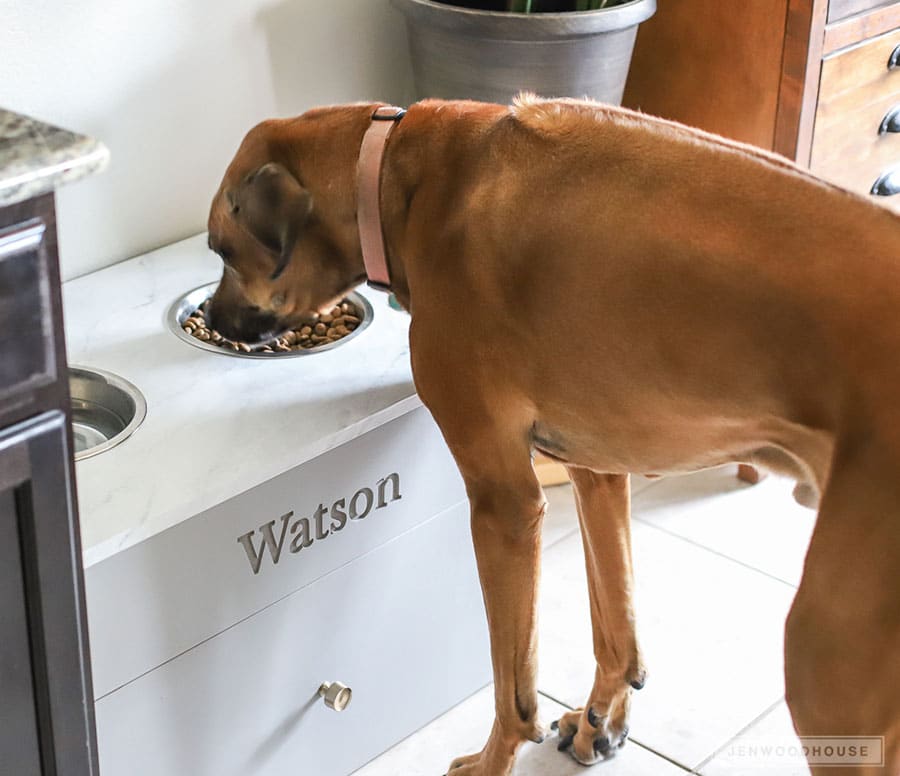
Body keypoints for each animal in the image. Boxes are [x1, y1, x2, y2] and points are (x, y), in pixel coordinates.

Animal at [206, 97, 900, 776]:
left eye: (221, 251)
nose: (212, 320)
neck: (396, 175)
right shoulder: (598, 469)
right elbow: (615, 624)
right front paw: (603, 722)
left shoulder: (504, 505)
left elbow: (513, 686)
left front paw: (493, 761)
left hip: (825, 663)